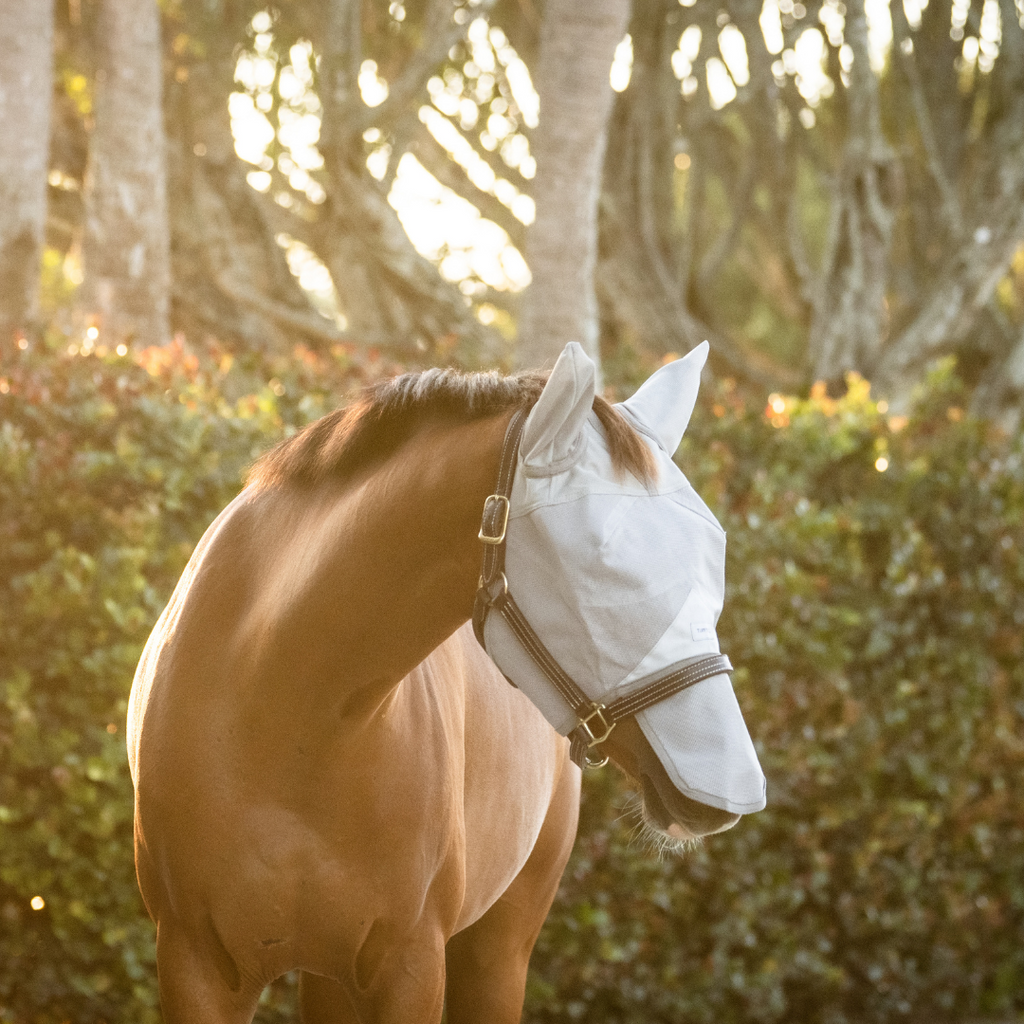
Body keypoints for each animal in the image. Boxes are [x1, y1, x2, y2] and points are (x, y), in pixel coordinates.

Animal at [128, 339, 765, 1019]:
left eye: (715, 549)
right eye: (604, 559)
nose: (733, 787)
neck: (284, 710)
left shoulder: (411, 966)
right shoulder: (194, 965)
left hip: (497, 951)